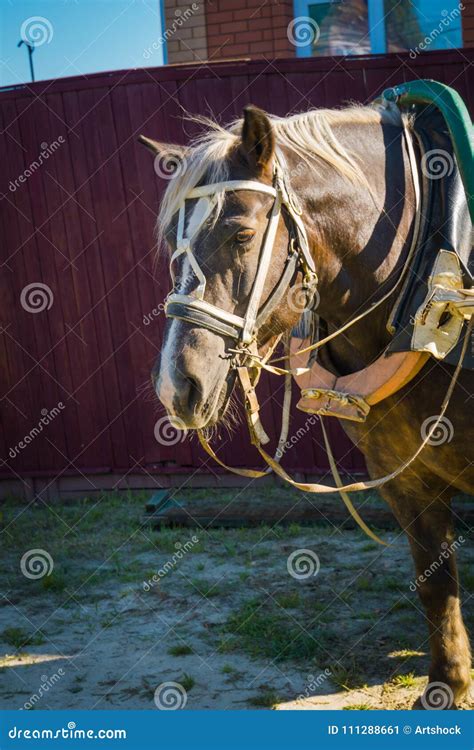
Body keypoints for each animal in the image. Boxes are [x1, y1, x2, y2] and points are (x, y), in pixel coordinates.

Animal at [142, 101, 474, 712]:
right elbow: (435, 581)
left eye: (243, 233)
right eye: (173, 245)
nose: (176, 387)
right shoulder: (404, 479)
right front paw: (448, 683)